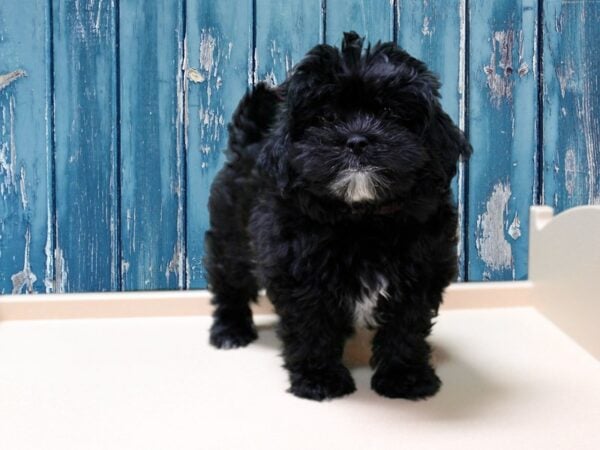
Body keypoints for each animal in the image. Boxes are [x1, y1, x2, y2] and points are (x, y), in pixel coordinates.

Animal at [204, 32, 472, 400]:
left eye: (389, 112)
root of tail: (246, 144)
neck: (361, 217)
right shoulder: (299, 273)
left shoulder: (421, 269)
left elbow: (405, 325)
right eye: (328, 118)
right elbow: (311, 325)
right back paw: (231, 329)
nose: (357, 140)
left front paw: (405, 377)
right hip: (232, 233)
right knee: (229, 279)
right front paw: (320, 378)